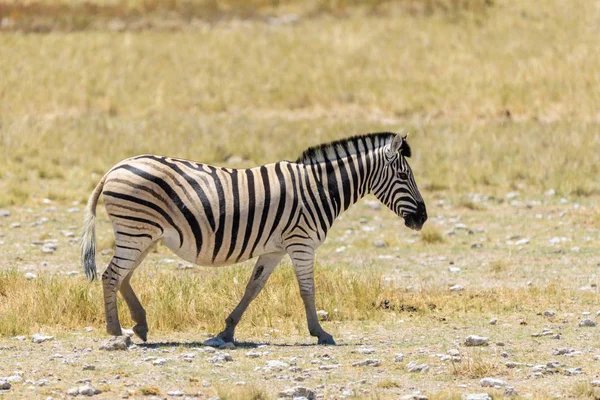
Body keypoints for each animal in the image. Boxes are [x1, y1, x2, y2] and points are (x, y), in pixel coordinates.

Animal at [81, 133, 426, 346]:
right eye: (405, 176)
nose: (422, 219)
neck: (319, 189)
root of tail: (114, 168)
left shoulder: (275, 249)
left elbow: (253, 288)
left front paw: (227, 331)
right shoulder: (301, 243)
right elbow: (307, 289)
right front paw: (320, 332)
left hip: (144, 234)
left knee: (123, 277)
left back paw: (139, 324)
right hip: (137, 230)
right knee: (112, 276)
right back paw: (116, 331)